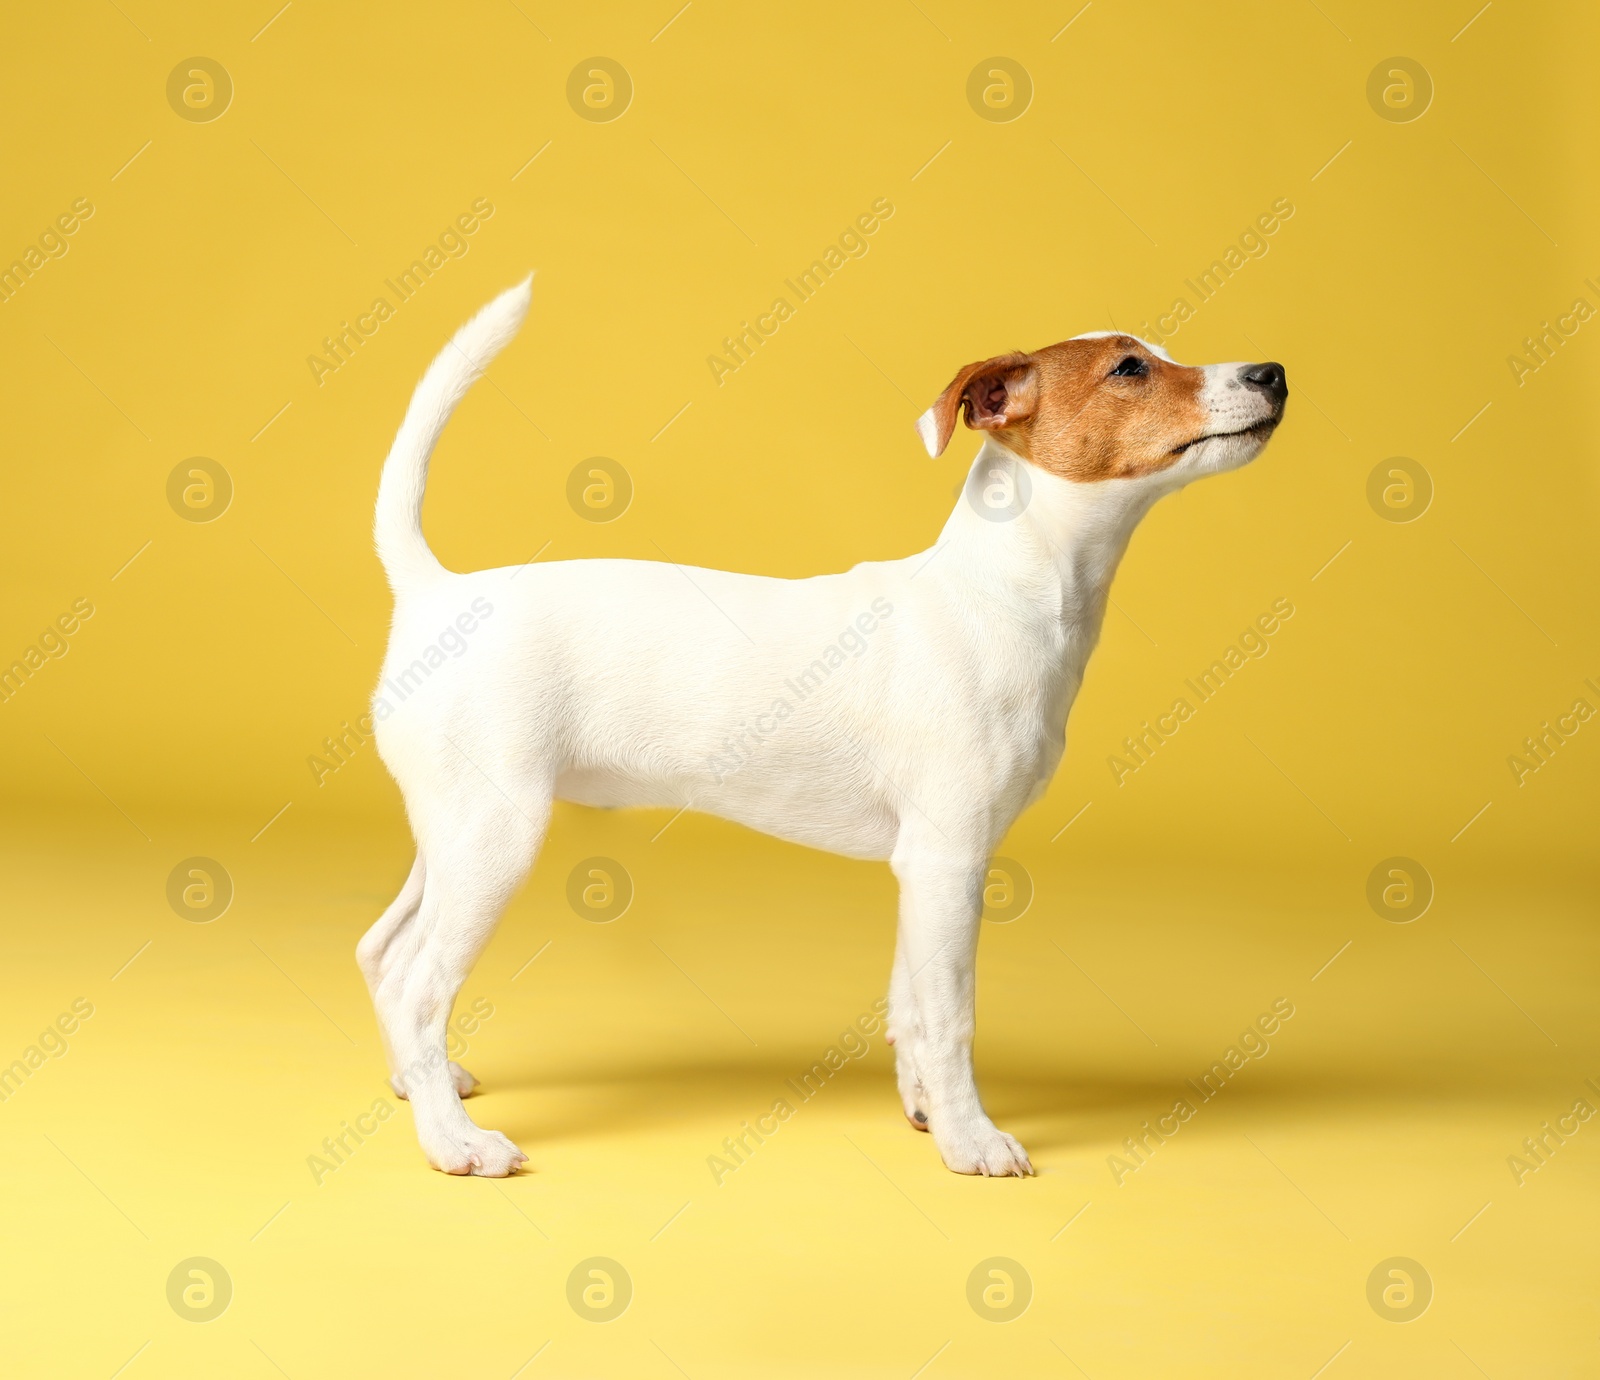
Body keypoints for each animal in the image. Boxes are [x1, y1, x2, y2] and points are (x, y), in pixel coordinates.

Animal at [360, 278, 1286, 1178]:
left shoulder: (925, 868)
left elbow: (912, 1006)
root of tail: (435, 591)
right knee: (418, 984)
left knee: (383, 951)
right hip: (496, 837)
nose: (1273, 371)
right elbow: (953, 1019)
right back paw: (454, 1144)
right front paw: (973, 1142)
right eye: (1129, 369)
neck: (1000, 593)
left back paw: (422, 1083)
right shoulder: (948, 860)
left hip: (452, 833)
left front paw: (926, 1111)